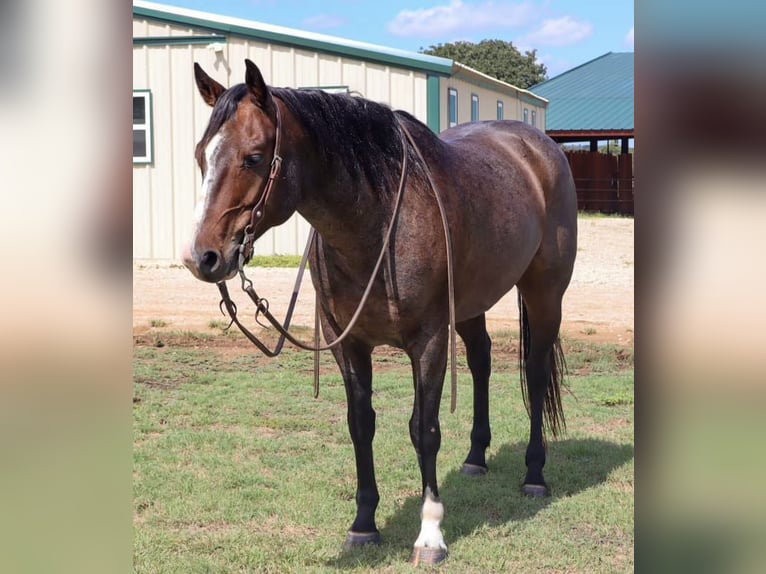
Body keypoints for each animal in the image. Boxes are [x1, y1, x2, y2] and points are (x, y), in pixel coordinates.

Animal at [182, 59, 577, 565]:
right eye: (201, 155)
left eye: (252, 157)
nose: (202, 257)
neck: (379, 220)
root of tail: (539, 145)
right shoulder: (347, 343)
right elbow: (361, 425)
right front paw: (364, 525)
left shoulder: (428, 341)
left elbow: (424, 430)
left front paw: (430, 535)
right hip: (471, 303)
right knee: (482, 360)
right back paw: (475, 459)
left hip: (544, 293)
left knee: (537, 370)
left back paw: (534, 475)